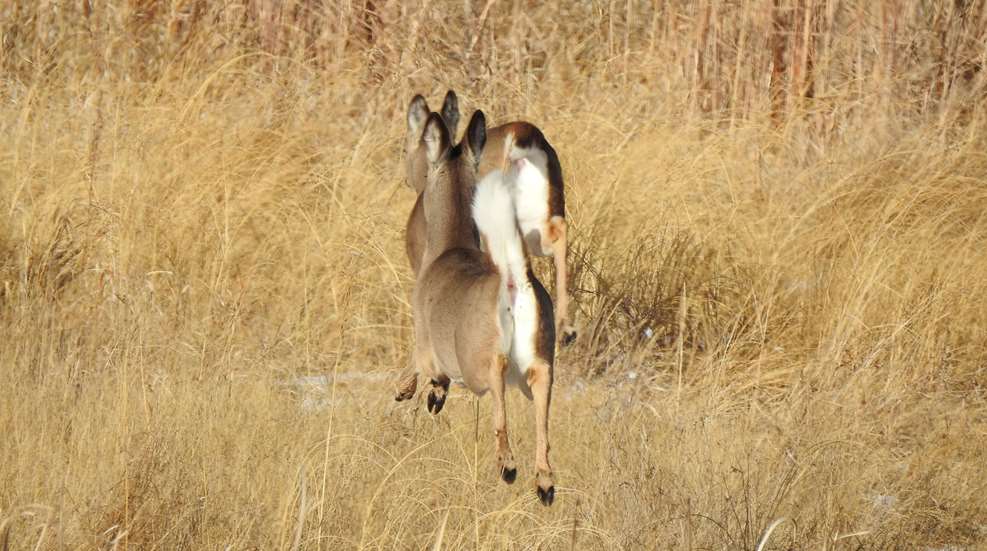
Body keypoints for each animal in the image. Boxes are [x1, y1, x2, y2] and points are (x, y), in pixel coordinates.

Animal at [400, 110, 556, 506]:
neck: (448, 248)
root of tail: (516, 282)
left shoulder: (425, 342)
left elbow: (419, 368)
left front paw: (412, 393)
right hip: (543, 356)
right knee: (542, 402)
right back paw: (544, 483)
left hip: (481, 356)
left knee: (496, 380)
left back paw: (508, 465)